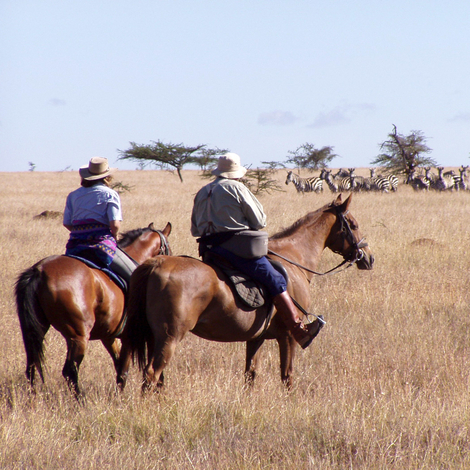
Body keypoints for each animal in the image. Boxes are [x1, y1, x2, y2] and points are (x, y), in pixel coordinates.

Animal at [15, 222, 172, 397]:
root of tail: (39, 271)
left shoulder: (109, 336)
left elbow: (119, 366)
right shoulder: (131, 337)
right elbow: (127, 370)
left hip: (37, 330)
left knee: (32, 365)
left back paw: (33, 396)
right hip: (78, 336)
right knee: (70, 371)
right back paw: (81, 400)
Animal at [125, 194, 374, 393]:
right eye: (353, 224)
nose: (369, 258)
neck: (293, 257)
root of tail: (157, 263)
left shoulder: (256, 338)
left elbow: (250, 374)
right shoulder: (288, 337)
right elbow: (287, 375)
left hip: (151, 337)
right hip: (169, 337)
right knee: (151, 373)